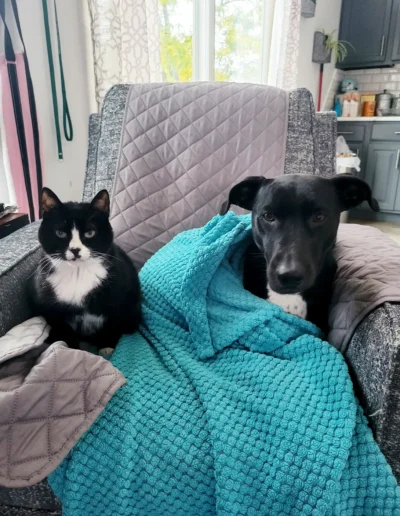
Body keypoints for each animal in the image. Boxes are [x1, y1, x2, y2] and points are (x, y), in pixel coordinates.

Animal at [30, 187, 141, 352]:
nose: (75, 250)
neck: (78, 272)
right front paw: (71, 348)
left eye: (90, 233)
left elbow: (112, 323)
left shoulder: (118, 298)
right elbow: (64, 329)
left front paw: (107, 347)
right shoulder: (52, 308)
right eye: (60, 233)